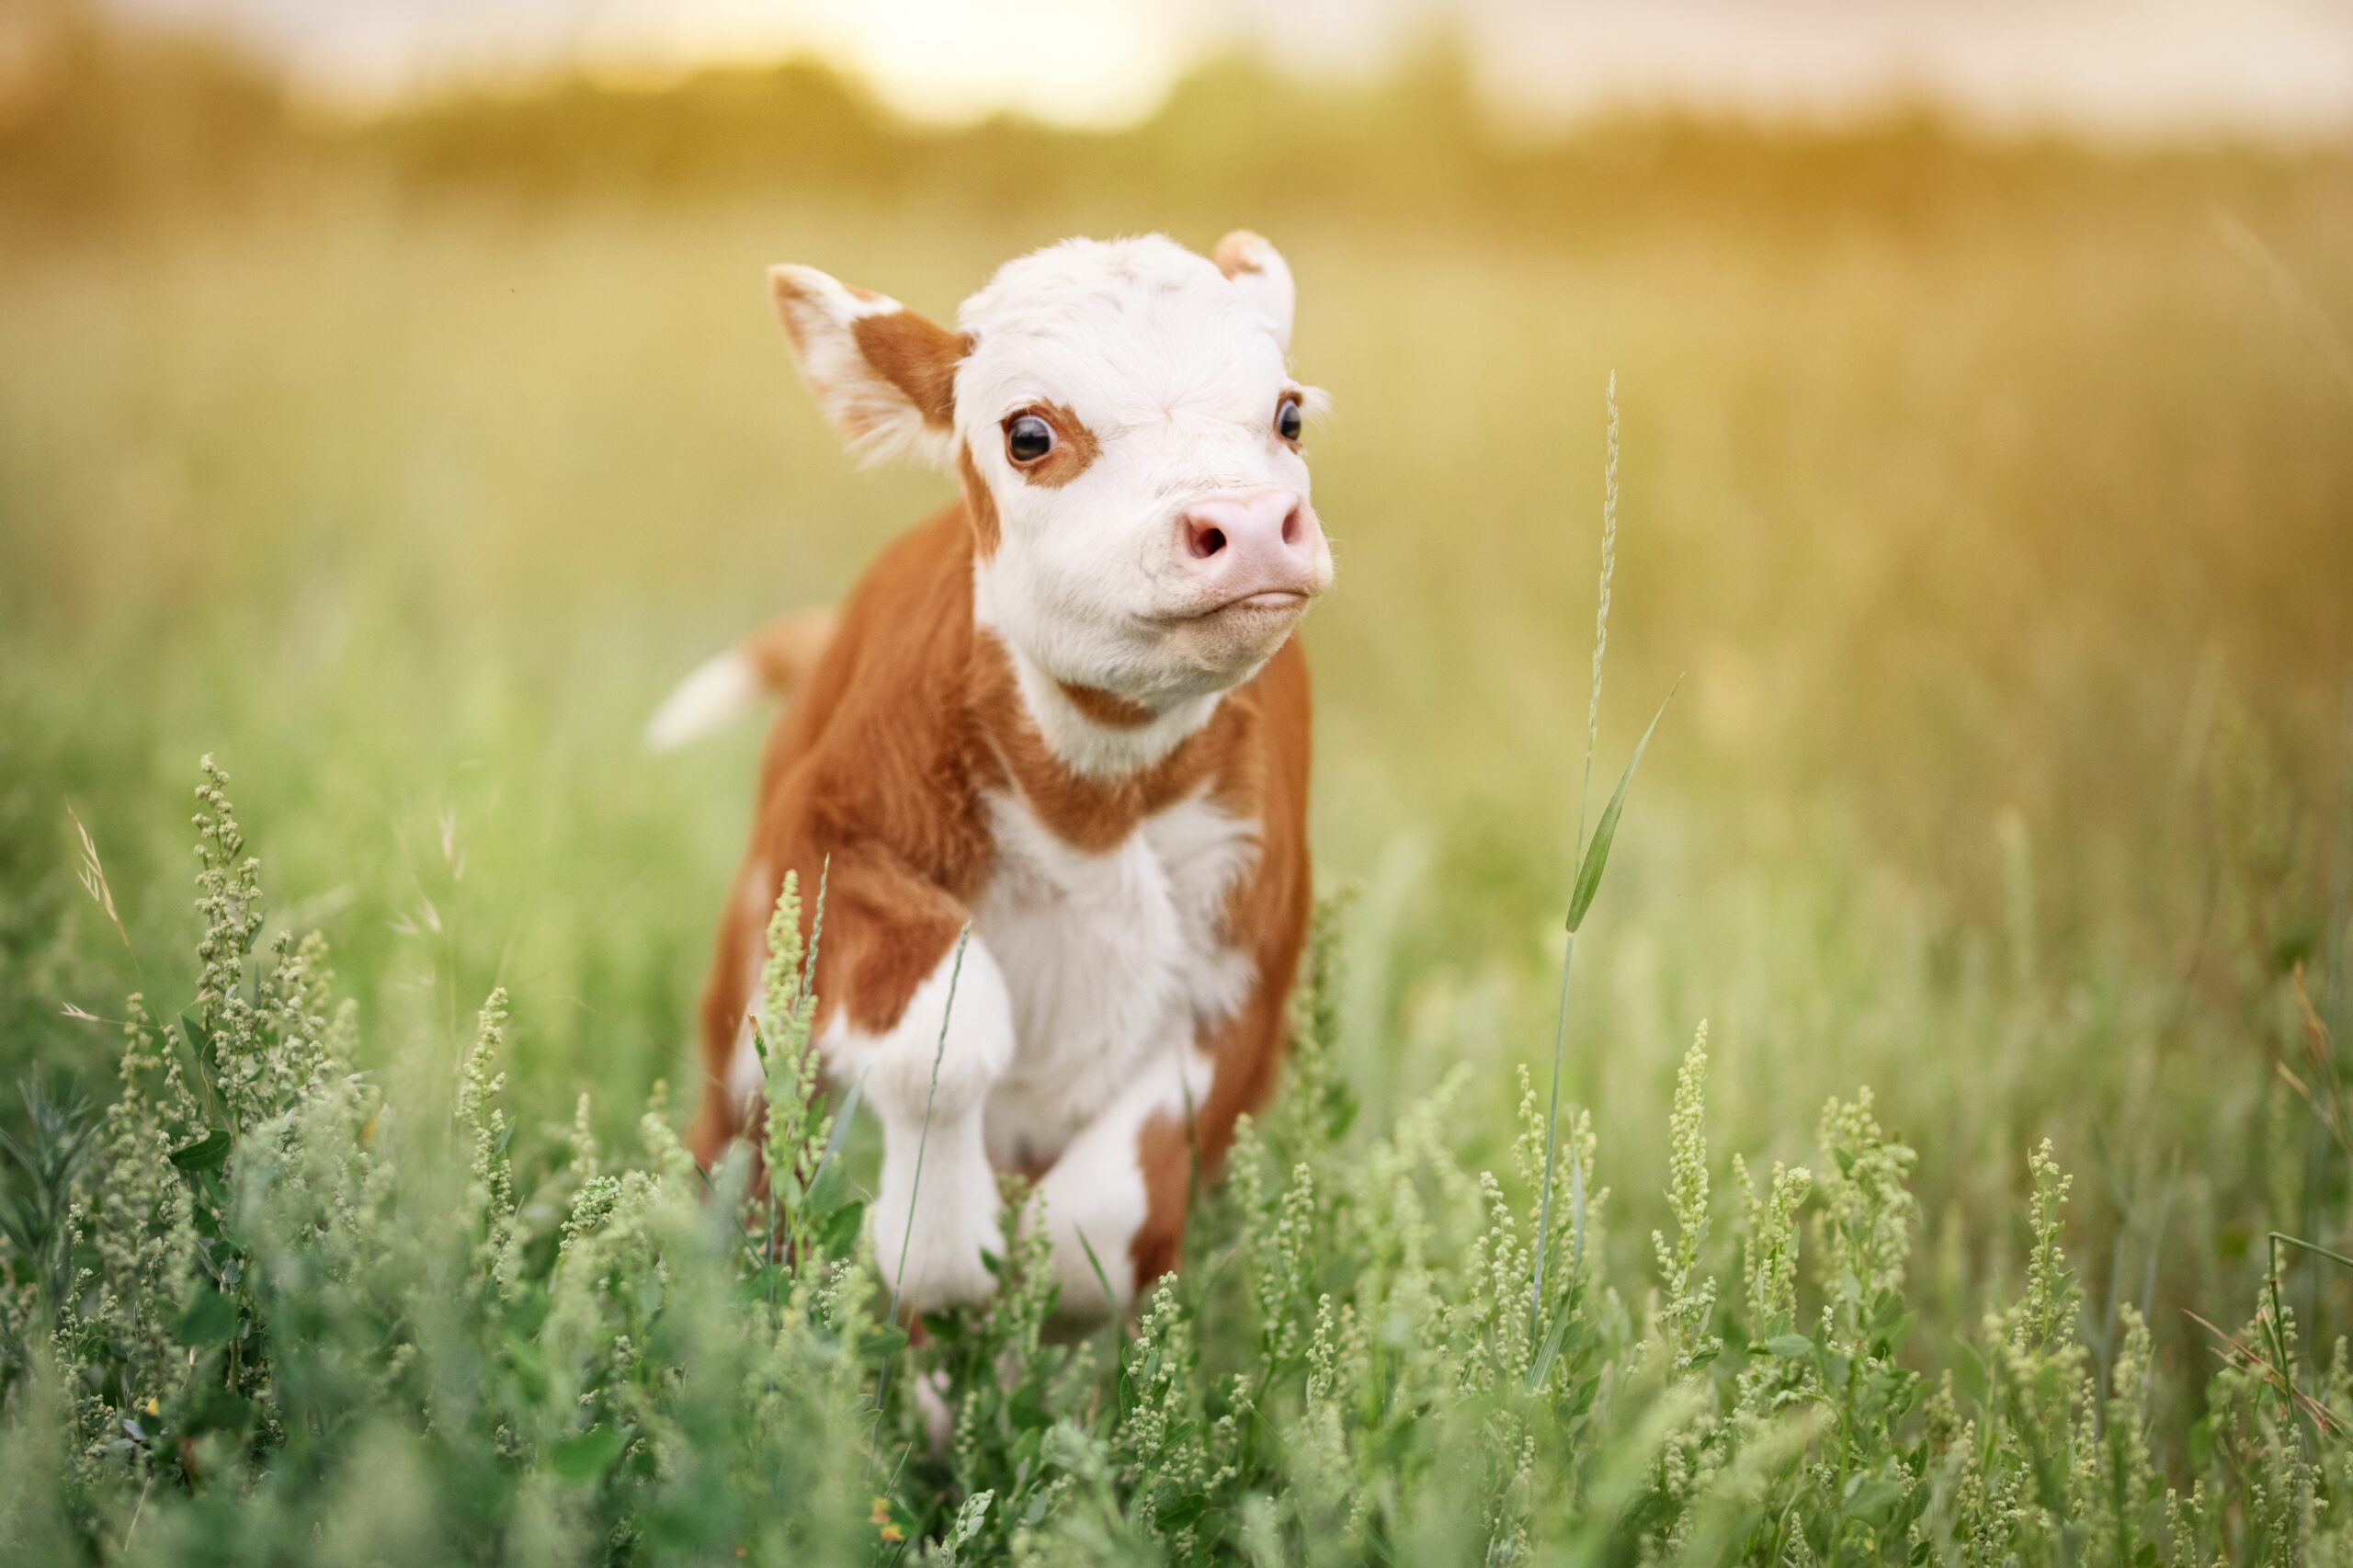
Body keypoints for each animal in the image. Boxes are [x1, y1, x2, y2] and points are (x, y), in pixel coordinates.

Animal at [651, 231, 1333, 1320]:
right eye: (1029, 434)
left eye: (1288, 414)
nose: (1254, 524)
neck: (1092, 801)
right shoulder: (825, 838)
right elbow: (946, 1029)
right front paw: (933, 1244)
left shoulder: (1251, 970)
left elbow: (1107, 1209)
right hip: (750, 975)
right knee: (742, 1140)